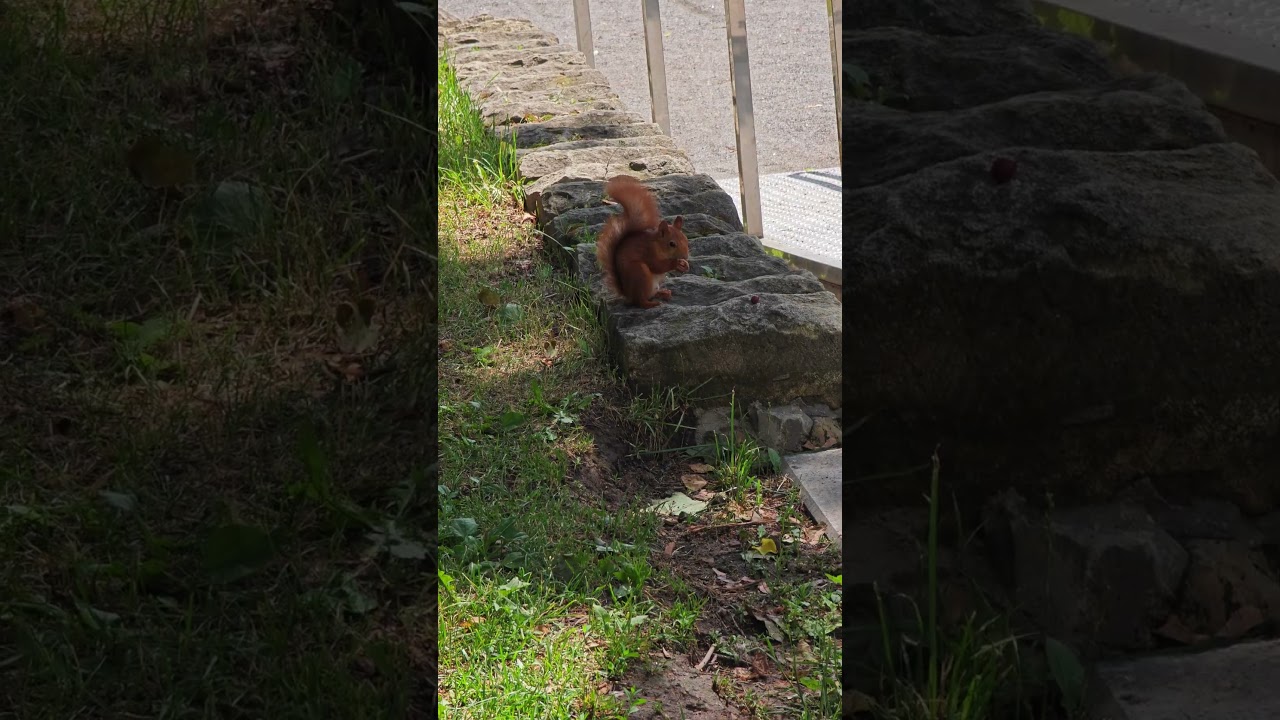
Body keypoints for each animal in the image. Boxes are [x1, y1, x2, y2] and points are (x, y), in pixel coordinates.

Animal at [594, 175, 691, 309]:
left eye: (686, 239)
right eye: (672, 244)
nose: (685, 256)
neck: (658, 245)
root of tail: (628, 295)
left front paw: (685, 265)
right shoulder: (648, 251)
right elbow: (657, 266)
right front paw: (676, 263)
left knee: (651, 294)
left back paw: (664, 293)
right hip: (639, 272)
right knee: (640, 301)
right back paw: (652, 303)